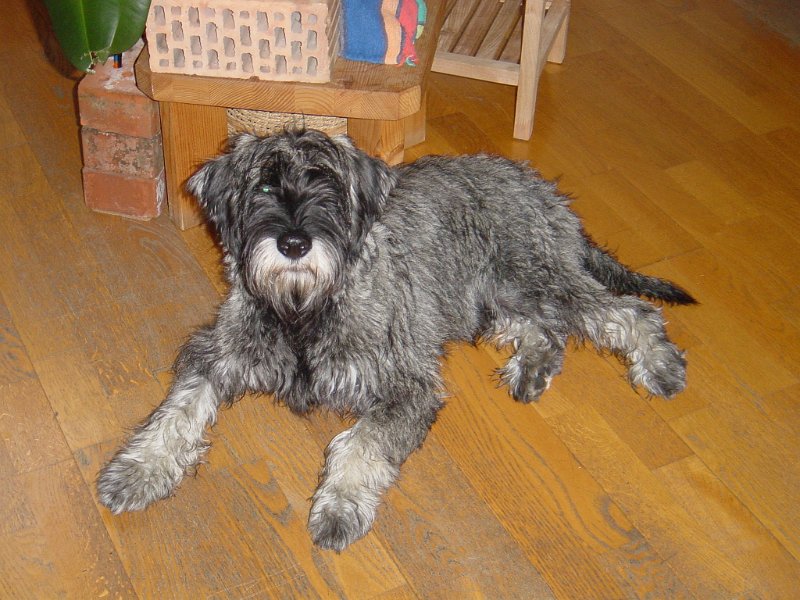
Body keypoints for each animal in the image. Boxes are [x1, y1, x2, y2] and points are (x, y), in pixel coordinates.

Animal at [97, 129, 695, 551]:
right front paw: (137, 470)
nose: (294, 243)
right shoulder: (217, 355)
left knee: (627, 312)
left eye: (328, 187)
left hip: (534, 280)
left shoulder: (404, 387)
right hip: (491, 297)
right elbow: (176, 410)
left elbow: (360, 443)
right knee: (546, 329)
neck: (304, 311)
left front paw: (338, 508)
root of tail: (543, 189)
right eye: (262, 186)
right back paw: (533, 369)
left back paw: (659, 367)